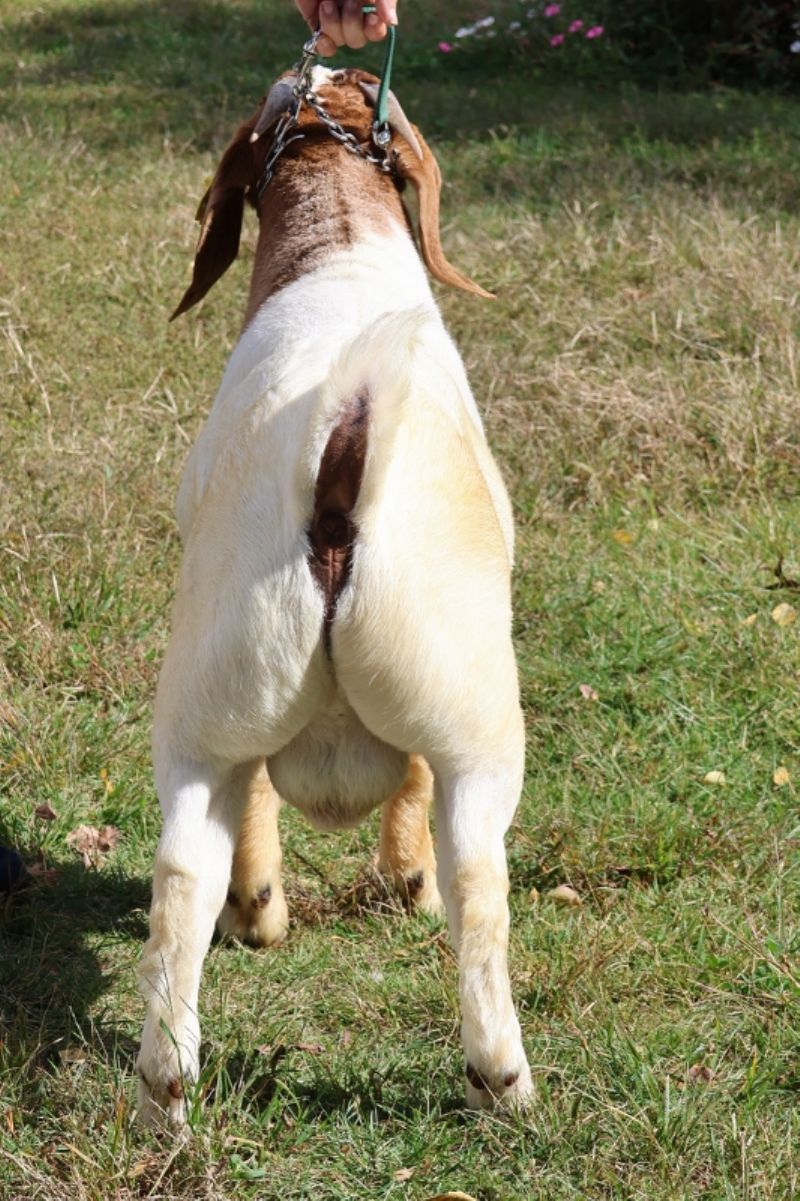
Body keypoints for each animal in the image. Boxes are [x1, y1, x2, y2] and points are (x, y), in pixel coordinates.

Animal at [138, 68, 533, 1124]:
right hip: (481, 722)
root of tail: (338, 454)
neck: (340, 246)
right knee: (479, 881)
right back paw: (503, 1076)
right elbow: (414, 790)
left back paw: (165, 1079)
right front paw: (401, 877)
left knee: (183, 873)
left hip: (204, 711)